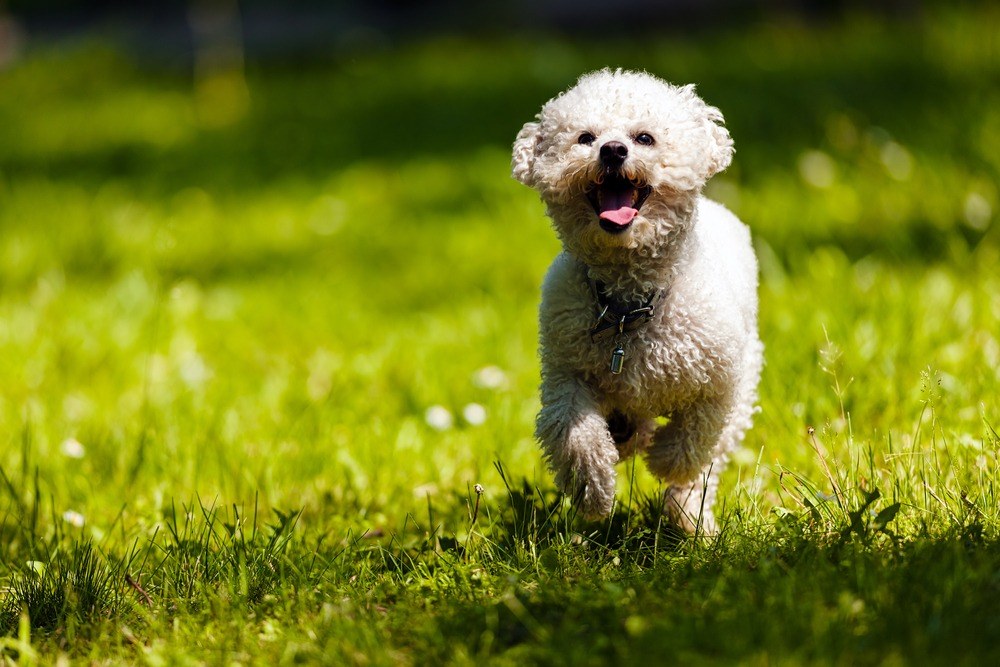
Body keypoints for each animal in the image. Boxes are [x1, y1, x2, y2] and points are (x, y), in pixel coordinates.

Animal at [512, 70, 760, 536]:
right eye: (585, 138)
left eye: (644, 137)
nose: (612, 150)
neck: (629, 308)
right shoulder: (566, 372)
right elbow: (573, 432)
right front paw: (592, 488)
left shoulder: (719, 383)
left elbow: (693, 438)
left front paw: (665, 460)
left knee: (706, 464)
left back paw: (690, 518)